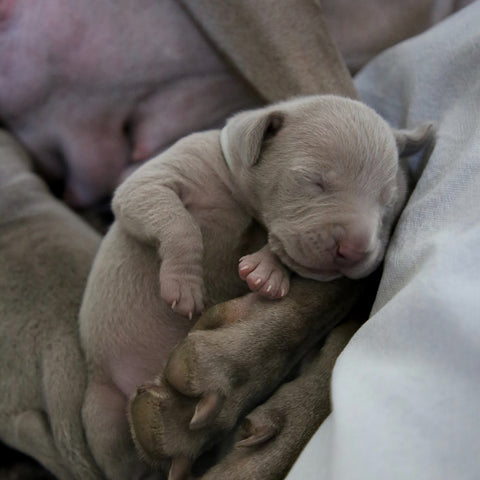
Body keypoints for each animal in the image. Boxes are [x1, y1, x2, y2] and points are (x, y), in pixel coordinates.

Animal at [79, 94, 436, 480]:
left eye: (387, 203)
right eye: (314, 181)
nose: (355, 249)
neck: (238, 199)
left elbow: (278, 255)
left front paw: (267, 271)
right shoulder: (161, 176)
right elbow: (176, 221)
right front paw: (185, 286)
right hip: (101, 411)